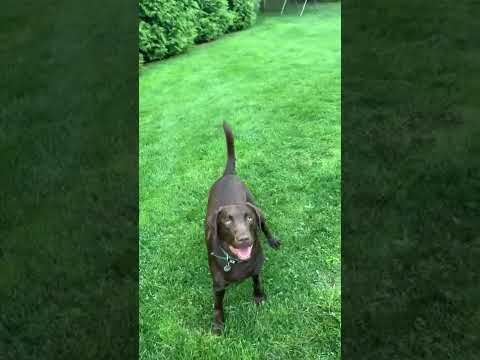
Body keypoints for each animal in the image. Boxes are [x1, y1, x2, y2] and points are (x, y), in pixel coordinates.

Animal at [203, 121, 280, 334]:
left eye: (249, 218)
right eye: (227, 221)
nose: (244, 239)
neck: (236, 261)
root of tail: (228, 175)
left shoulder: (256, 267)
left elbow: (257, 281)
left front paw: (259, 297)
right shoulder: (218, 285)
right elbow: (218, 304)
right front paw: (218, 324)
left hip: (255, 204)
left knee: (266, 226)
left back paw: (273, 240)